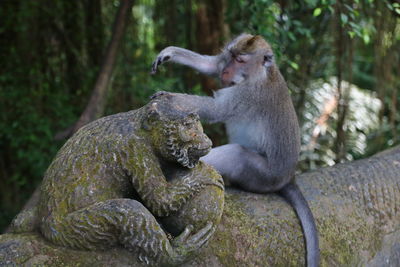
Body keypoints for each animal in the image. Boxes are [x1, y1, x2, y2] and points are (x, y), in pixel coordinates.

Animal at [152, 33, 320, 267]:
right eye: (231, 56)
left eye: (241, 61)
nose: (226, 72)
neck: (258, 75)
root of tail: (288, 177)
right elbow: (212, 65)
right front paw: (170, 52)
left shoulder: (248, 94)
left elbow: (216, 110)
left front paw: (169, 99)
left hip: (263, 176)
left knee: (237, 155)